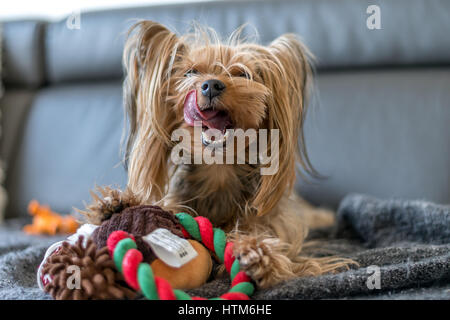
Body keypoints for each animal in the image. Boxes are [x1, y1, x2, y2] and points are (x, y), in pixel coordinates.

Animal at [83, 21, 352, 288]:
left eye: (243, 74)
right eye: (190, 73)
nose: (211, 84)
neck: (219, 168)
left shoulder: (278, 224)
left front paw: (259, 256)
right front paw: (116, 205)